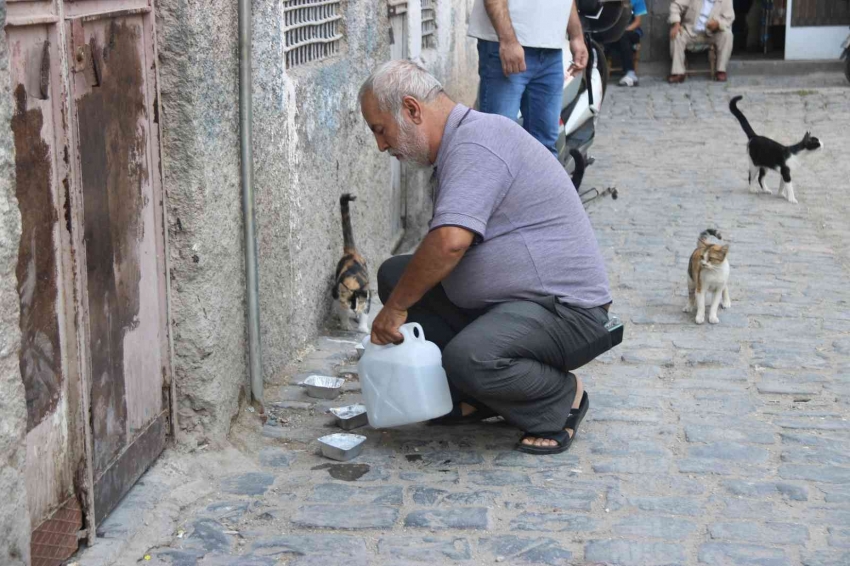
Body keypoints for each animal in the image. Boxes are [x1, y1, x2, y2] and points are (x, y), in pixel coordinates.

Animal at [332, 196, 370, 338]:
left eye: (358, 302)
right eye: (350, 302)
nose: (354, 310)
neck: (353, 281)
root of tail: (351, 252)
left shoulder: (367, 295)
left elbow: (365, 312)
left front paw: (363, 328)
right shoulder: (336, 294)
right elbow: (341, 309)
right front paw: (345, 324)